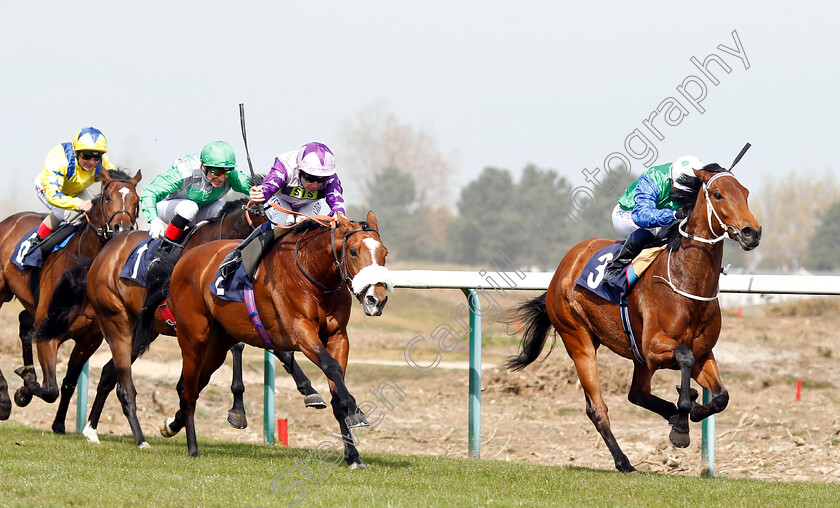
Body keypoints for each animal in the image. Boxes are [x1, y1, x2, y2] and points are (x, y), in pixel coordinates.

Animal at [139, 209, 392, 464]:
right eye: (353, 251)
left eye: (385, 253)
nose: (376, 299)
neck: (313, 274)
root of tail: (184, 259)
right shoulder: (301, 332)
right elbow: (331, 367)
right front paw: (354, 409)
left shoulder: (338, 337)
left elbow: (336, 384)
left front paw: (353, 455)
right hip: (193, 339)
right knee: (189, 392)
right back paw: (192, 447)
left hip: (216, 347)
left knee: (188, 386)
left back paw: (172, 425)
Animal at [506, 163, 760, 472]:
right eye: (718, 194)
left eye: (745, 193)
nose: (751, 232)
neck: (687, 281)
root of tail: (561, 270)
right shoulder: (653, 347)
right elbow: (684, 357)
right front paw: (681, 426)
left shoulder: (702, 351)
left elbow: (721, 396)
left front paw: (691, 408)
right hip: (578, 340)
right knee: (597, 408)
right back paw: (624, 461)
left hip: (635, 355)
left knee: (636, 393)